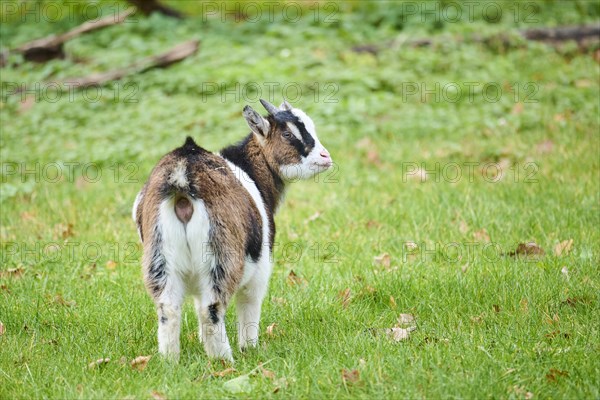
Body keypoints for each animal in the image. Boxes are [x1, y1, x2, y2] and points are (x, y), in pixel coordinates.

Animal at [131, 98, 332, 360]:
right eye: (288, 134)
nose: (325, 156)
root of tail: (182, 175)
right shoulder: (260, 267)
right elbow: (250, 301)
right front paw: (250, 348)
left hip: (159, 255)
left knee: (169, 306)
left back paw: (170, 361)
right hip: (221, 254)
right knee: (211, 308)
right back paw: (224, 360)